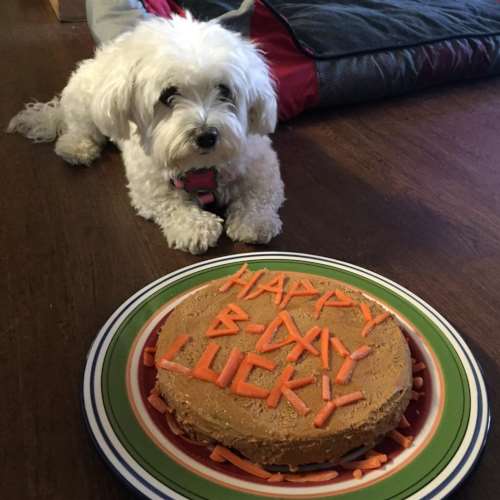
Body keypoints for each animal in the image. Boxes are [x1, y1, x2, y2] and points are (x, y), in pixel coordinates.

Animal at [9, 14, 284, 254]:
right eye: (168, 94)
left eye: (224, 90)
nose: (207, 135)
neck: (202, 168)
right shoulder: (148, 182)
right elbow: (170, 203)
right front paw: (194, 227)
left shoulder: (263, 167)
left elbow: (260, 194)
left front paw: (254, 221)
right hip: (87, 104)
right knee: (78, 127)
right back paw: (76, 147)